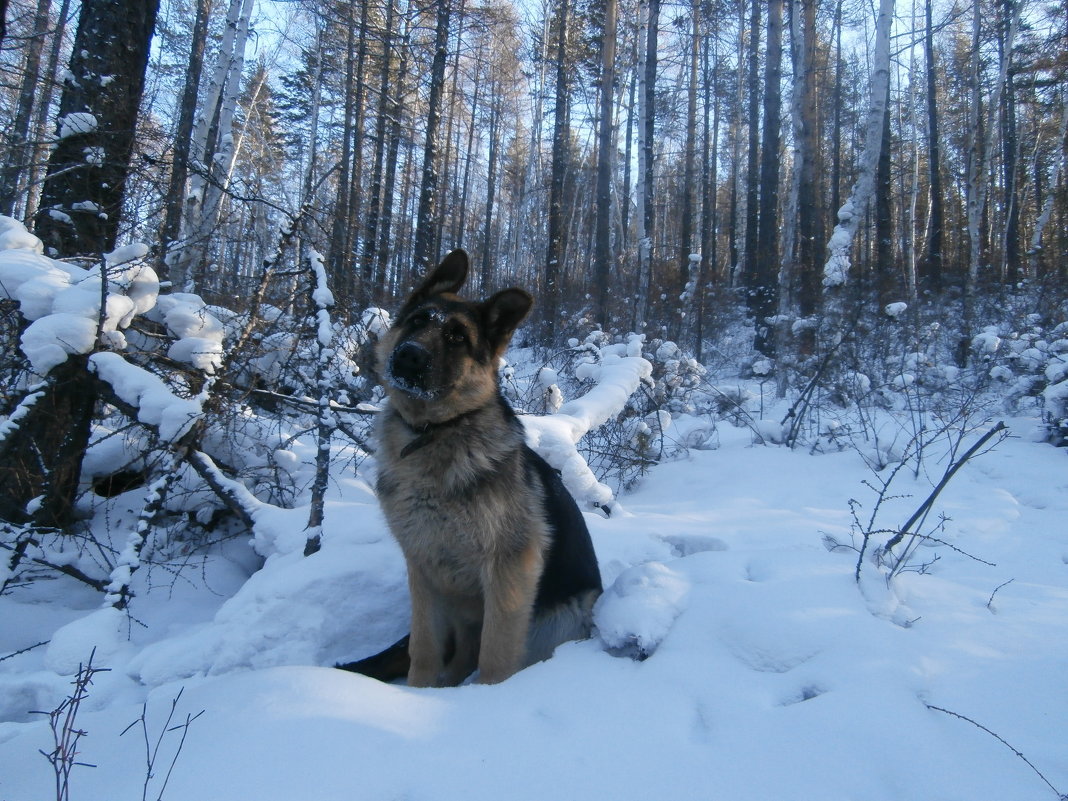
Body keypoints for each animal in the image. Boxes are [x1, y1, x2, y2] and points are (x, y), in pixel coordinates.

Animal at [346, 252, 606, 692]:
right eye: (417, 321)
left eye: (457, 338)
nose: (410, 356)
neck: (431, 433)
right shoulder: (423, 572)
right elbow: (424, 650)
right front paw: (416, 695)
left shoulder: (509, 572)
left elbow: (495, 656)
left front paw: (486, 701)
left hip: (554, 621)